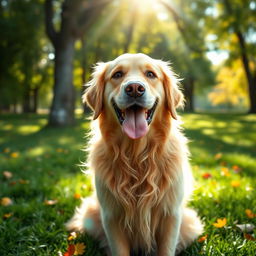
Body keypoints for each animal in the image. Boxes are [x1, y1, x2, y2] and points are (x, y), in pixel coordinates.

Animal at [67, 53, 203, 255]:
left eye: (150, 74)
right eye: (117, 74)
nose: (134, 89)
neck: (136, 155)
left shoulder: (171, 214)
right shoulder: (111, 215)